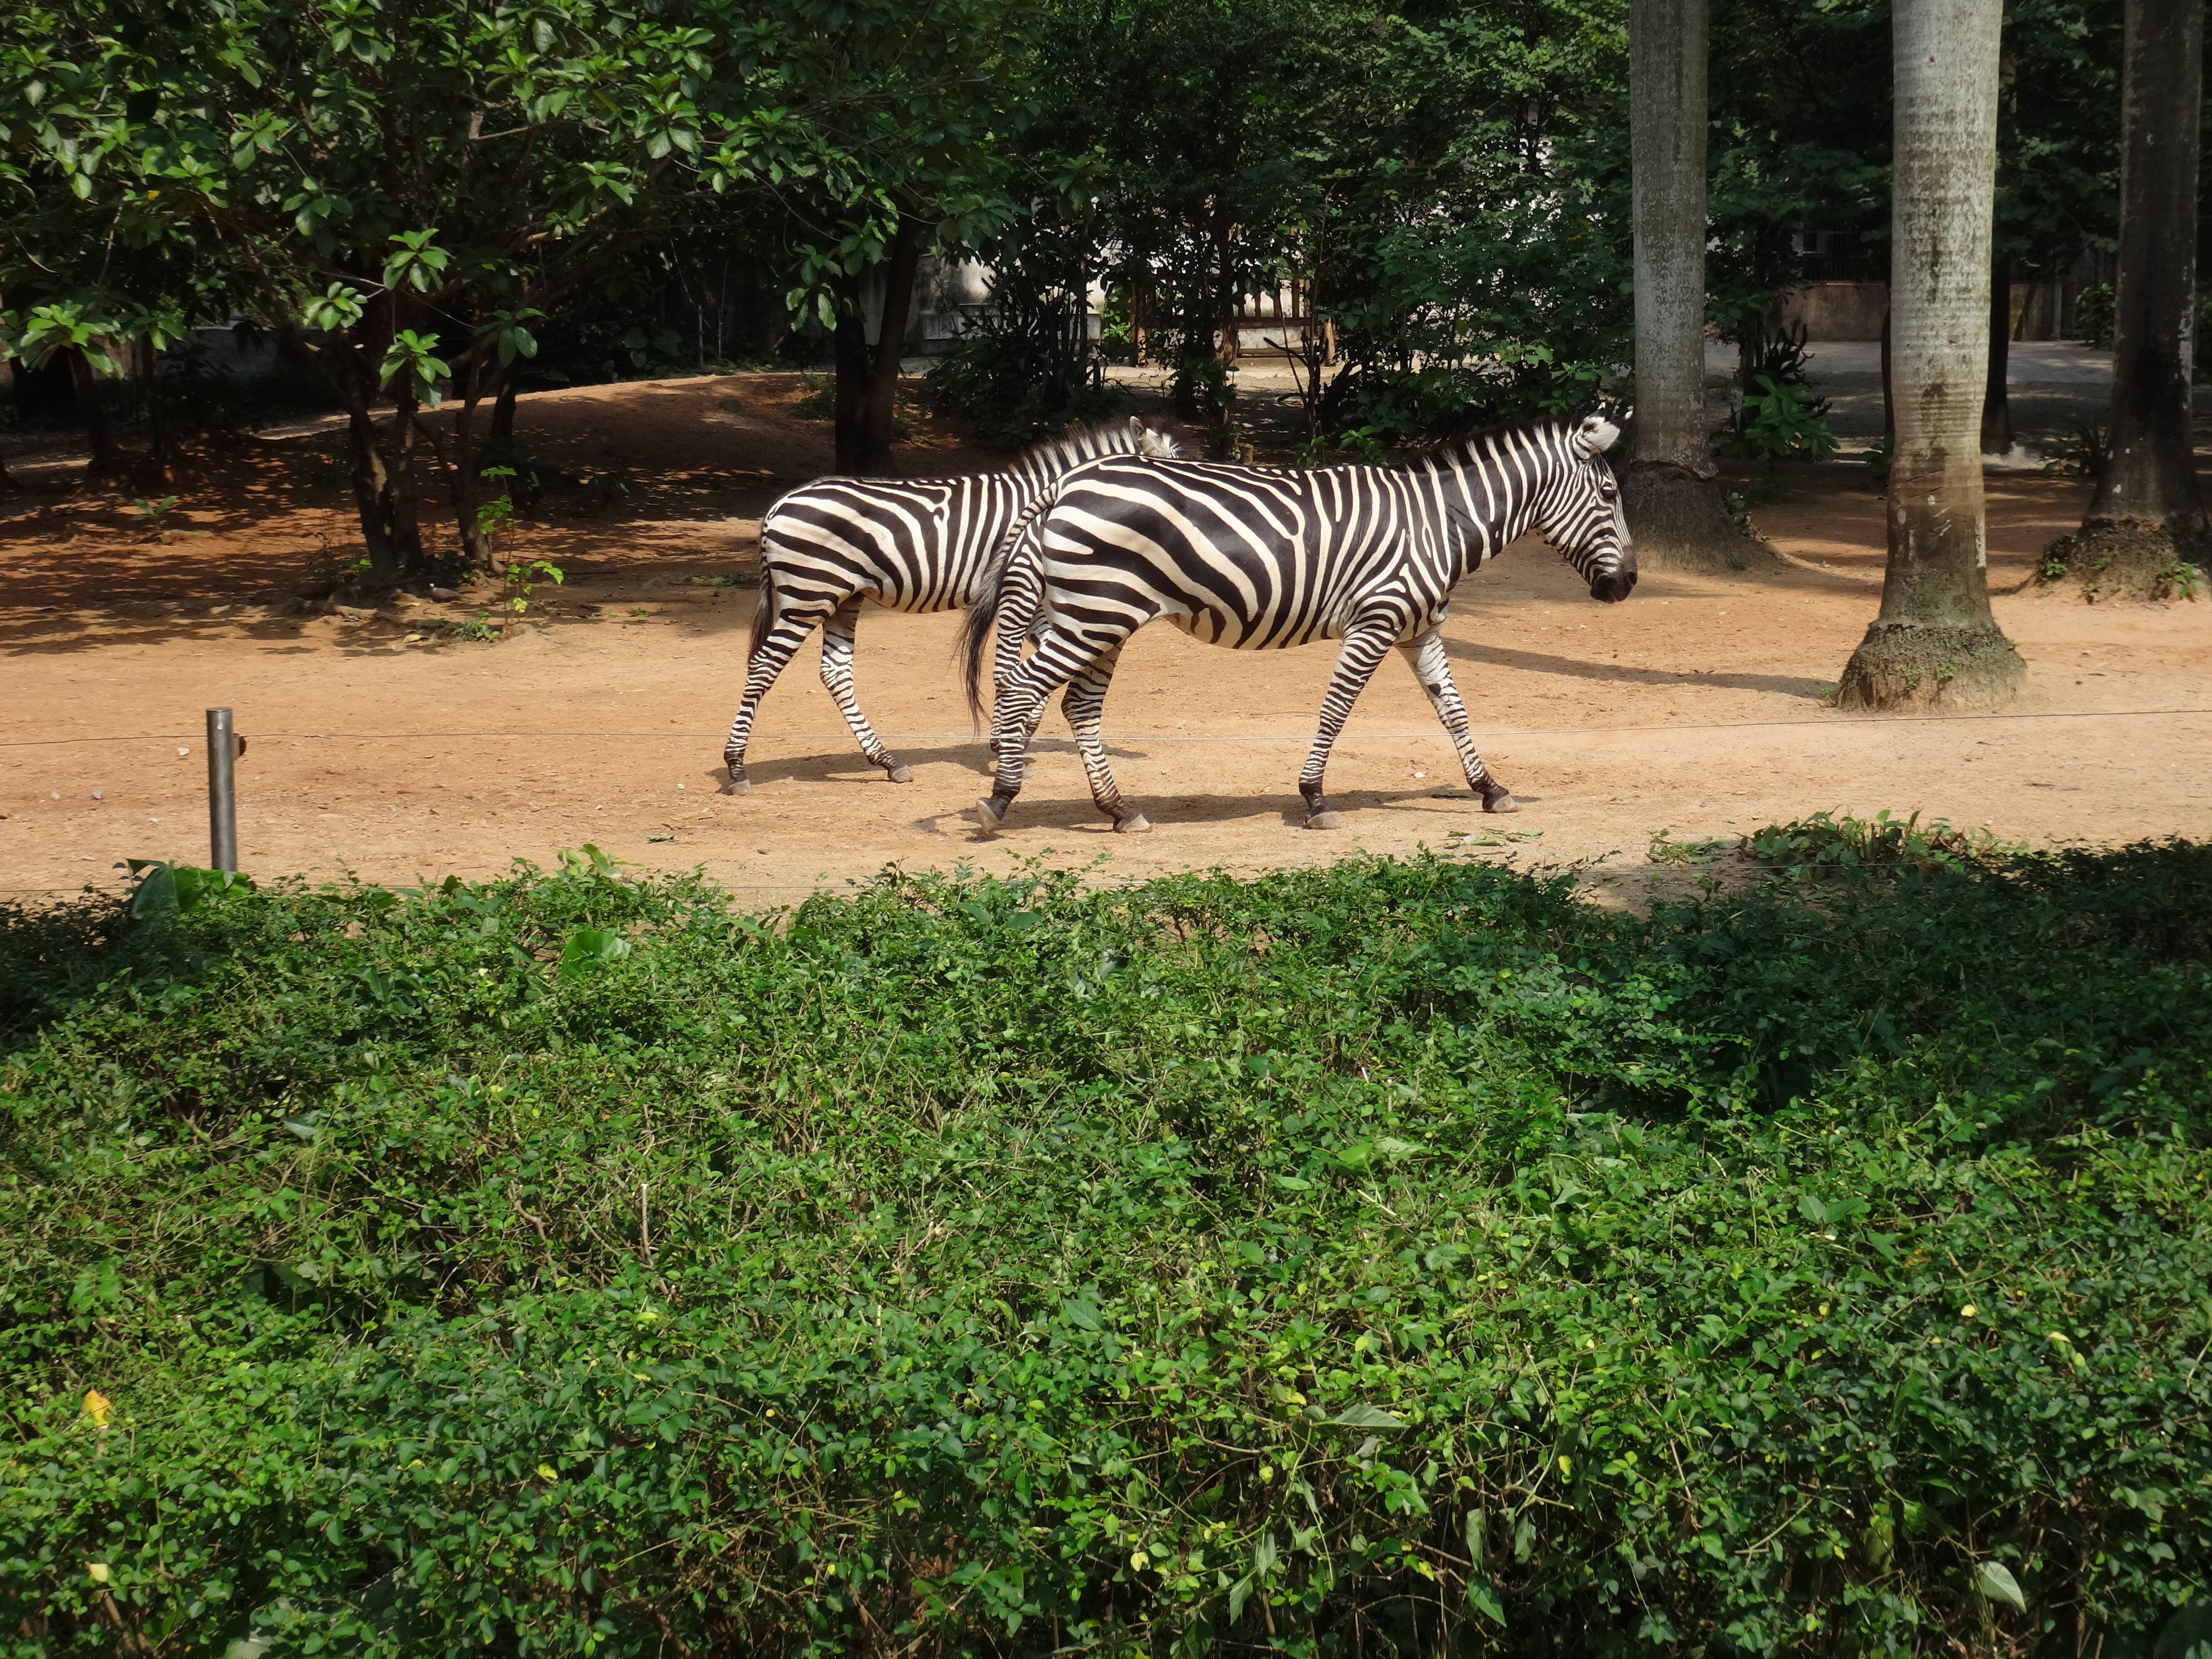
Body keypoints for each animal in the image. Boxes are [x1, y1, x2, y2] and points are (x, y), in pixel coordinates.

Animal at [721, 422, 1186, 801]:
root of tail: (779, 505)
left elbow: (1037, 658)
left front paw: (1021, 729)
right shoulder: (1020, 584)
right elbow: (1010, 667)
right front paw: (1006, 741)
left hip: (843, 597)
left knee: (835, 673)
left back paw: (887, 761)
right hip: (808, 595)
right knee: (763, 666)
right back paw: (737, 767)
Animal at [960, 411, 1637, 836]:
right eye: (1609, 496)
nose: (1628, 584)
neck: (1440, 522)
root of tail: (1065, 484)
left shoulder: (1419, 628)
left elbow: (1454, 710)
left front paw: (1490, 788)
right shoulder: (1376, 621)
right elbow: (1336, 710)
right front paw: (1314, 798)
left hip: (1096, 617)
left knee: (1076, 705)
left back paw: (1120, 810)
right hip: (1095, 614)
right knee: (1022, 692)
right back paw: (1001, 799)